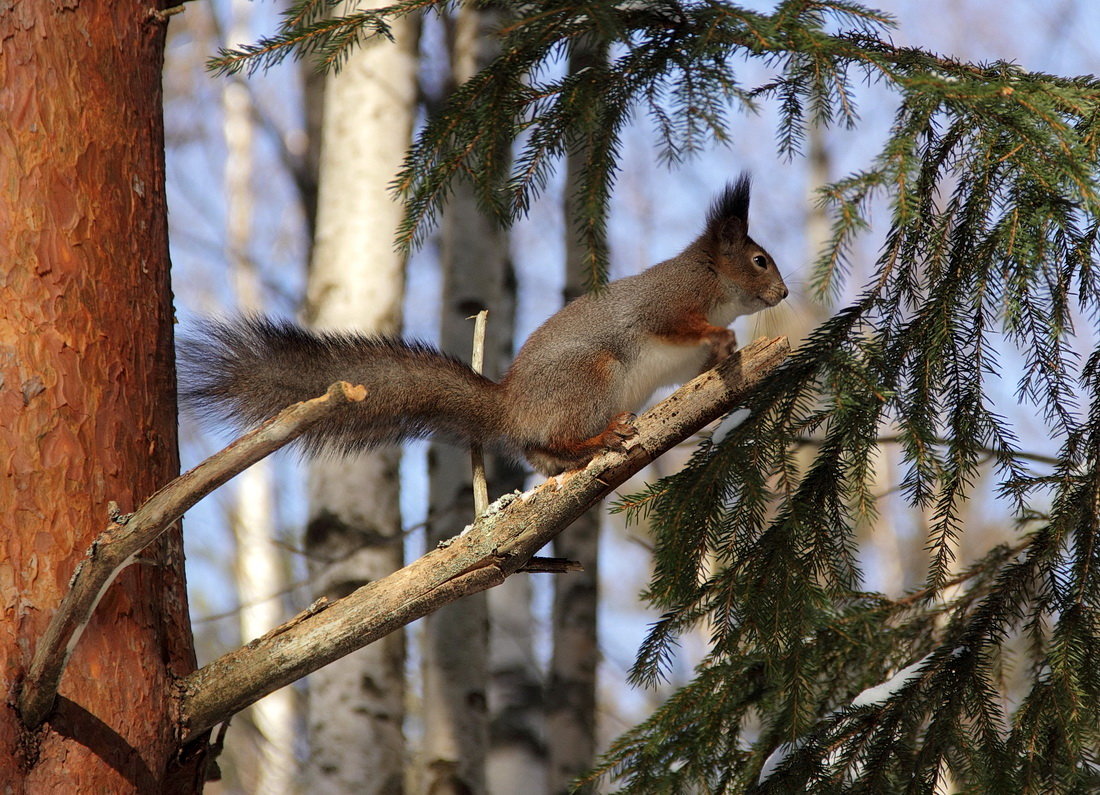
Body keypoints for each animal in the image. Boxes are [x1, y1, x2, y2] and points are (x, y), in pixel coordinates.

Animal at [180, 173, 783, 472]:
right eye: (759, 261)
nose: (784, 292)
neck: (714, 282)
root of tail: (510, 407)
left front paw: (727, 357)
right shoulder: (670, 303)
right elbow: (681, 325)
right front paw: (723, 337)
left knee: (544, 455)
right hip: (592, 375)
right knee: (559, 438)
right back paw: (601, 436)